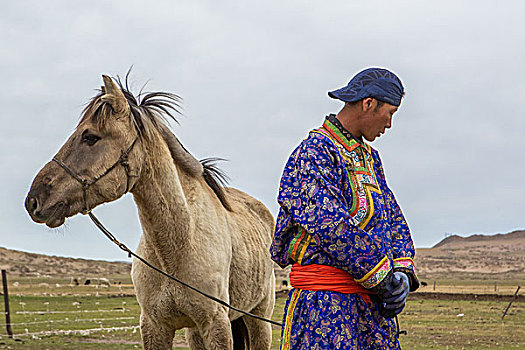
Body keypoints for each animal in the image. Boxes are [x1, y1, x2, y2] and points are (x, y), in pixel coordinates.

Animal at [25, 75, 276, 348]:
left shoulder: (215, 325)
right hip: (195, 331)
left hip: (258, 319)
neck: (178, 245)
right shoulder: (155, 326)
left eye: (90, 137)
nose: (34, 200)